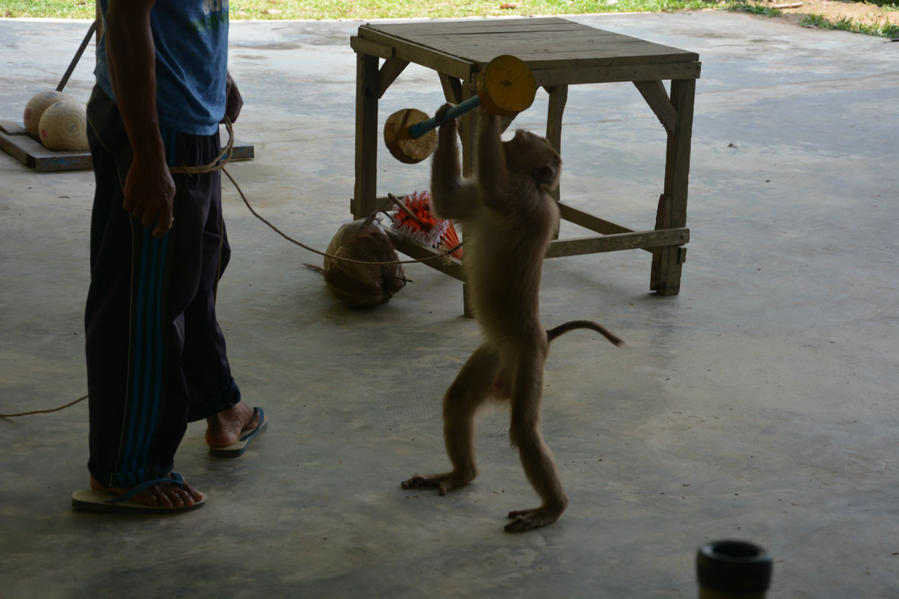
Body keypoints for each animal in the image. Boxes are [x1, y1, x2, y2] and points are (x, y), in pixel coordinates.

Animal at [402, 104, 624, 536]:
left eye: (519, 140)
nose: (507, 139)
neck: (532, 185)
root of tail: (544, 337)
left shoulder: (521, 196)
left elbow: (492, 186)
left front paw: (486, 110)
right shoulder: (482, 199)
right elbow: (448, 203)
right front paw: (446, 118)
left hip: (527, 356)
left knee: (523, 428)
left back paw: (551, 508)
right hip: (493, 354)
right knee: (458, 400)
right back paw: (461, 475)